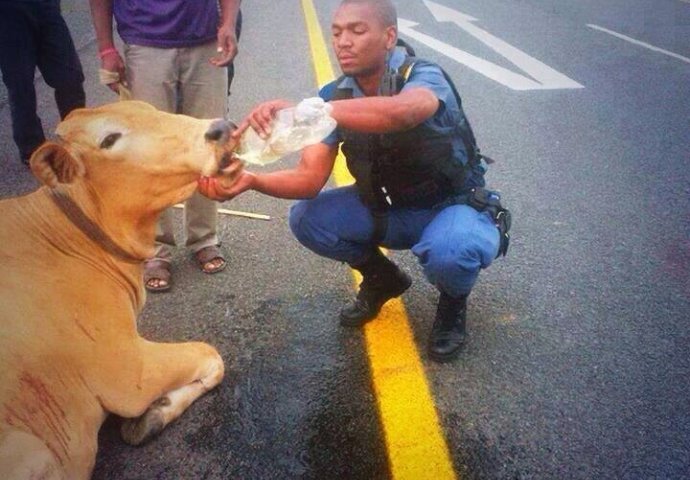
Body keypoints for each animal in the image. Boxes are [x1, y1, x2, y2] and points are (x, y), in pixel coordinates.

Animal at [0, 99, 242, 478]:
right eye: (109, 139)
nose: (219, 128)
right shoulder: (129, 373)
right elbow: (211, 354)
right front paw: (155, 411)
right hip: (35, 450)